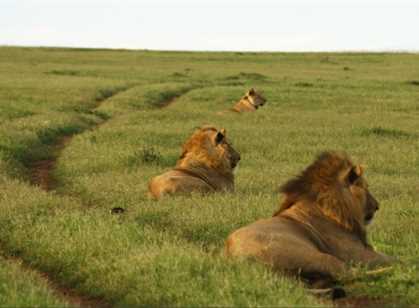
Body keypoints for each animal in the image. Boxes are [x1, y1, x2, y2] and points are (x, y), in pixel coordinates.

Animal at [226, 152, 394, 296]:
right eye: (366, 188)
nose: (377, 206)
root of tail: (233, 258)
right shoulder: (357, 254)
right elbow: (389, 257)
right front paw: (398, 262)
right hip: (316, 256)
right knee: (351, 273)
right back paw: (391, 270)